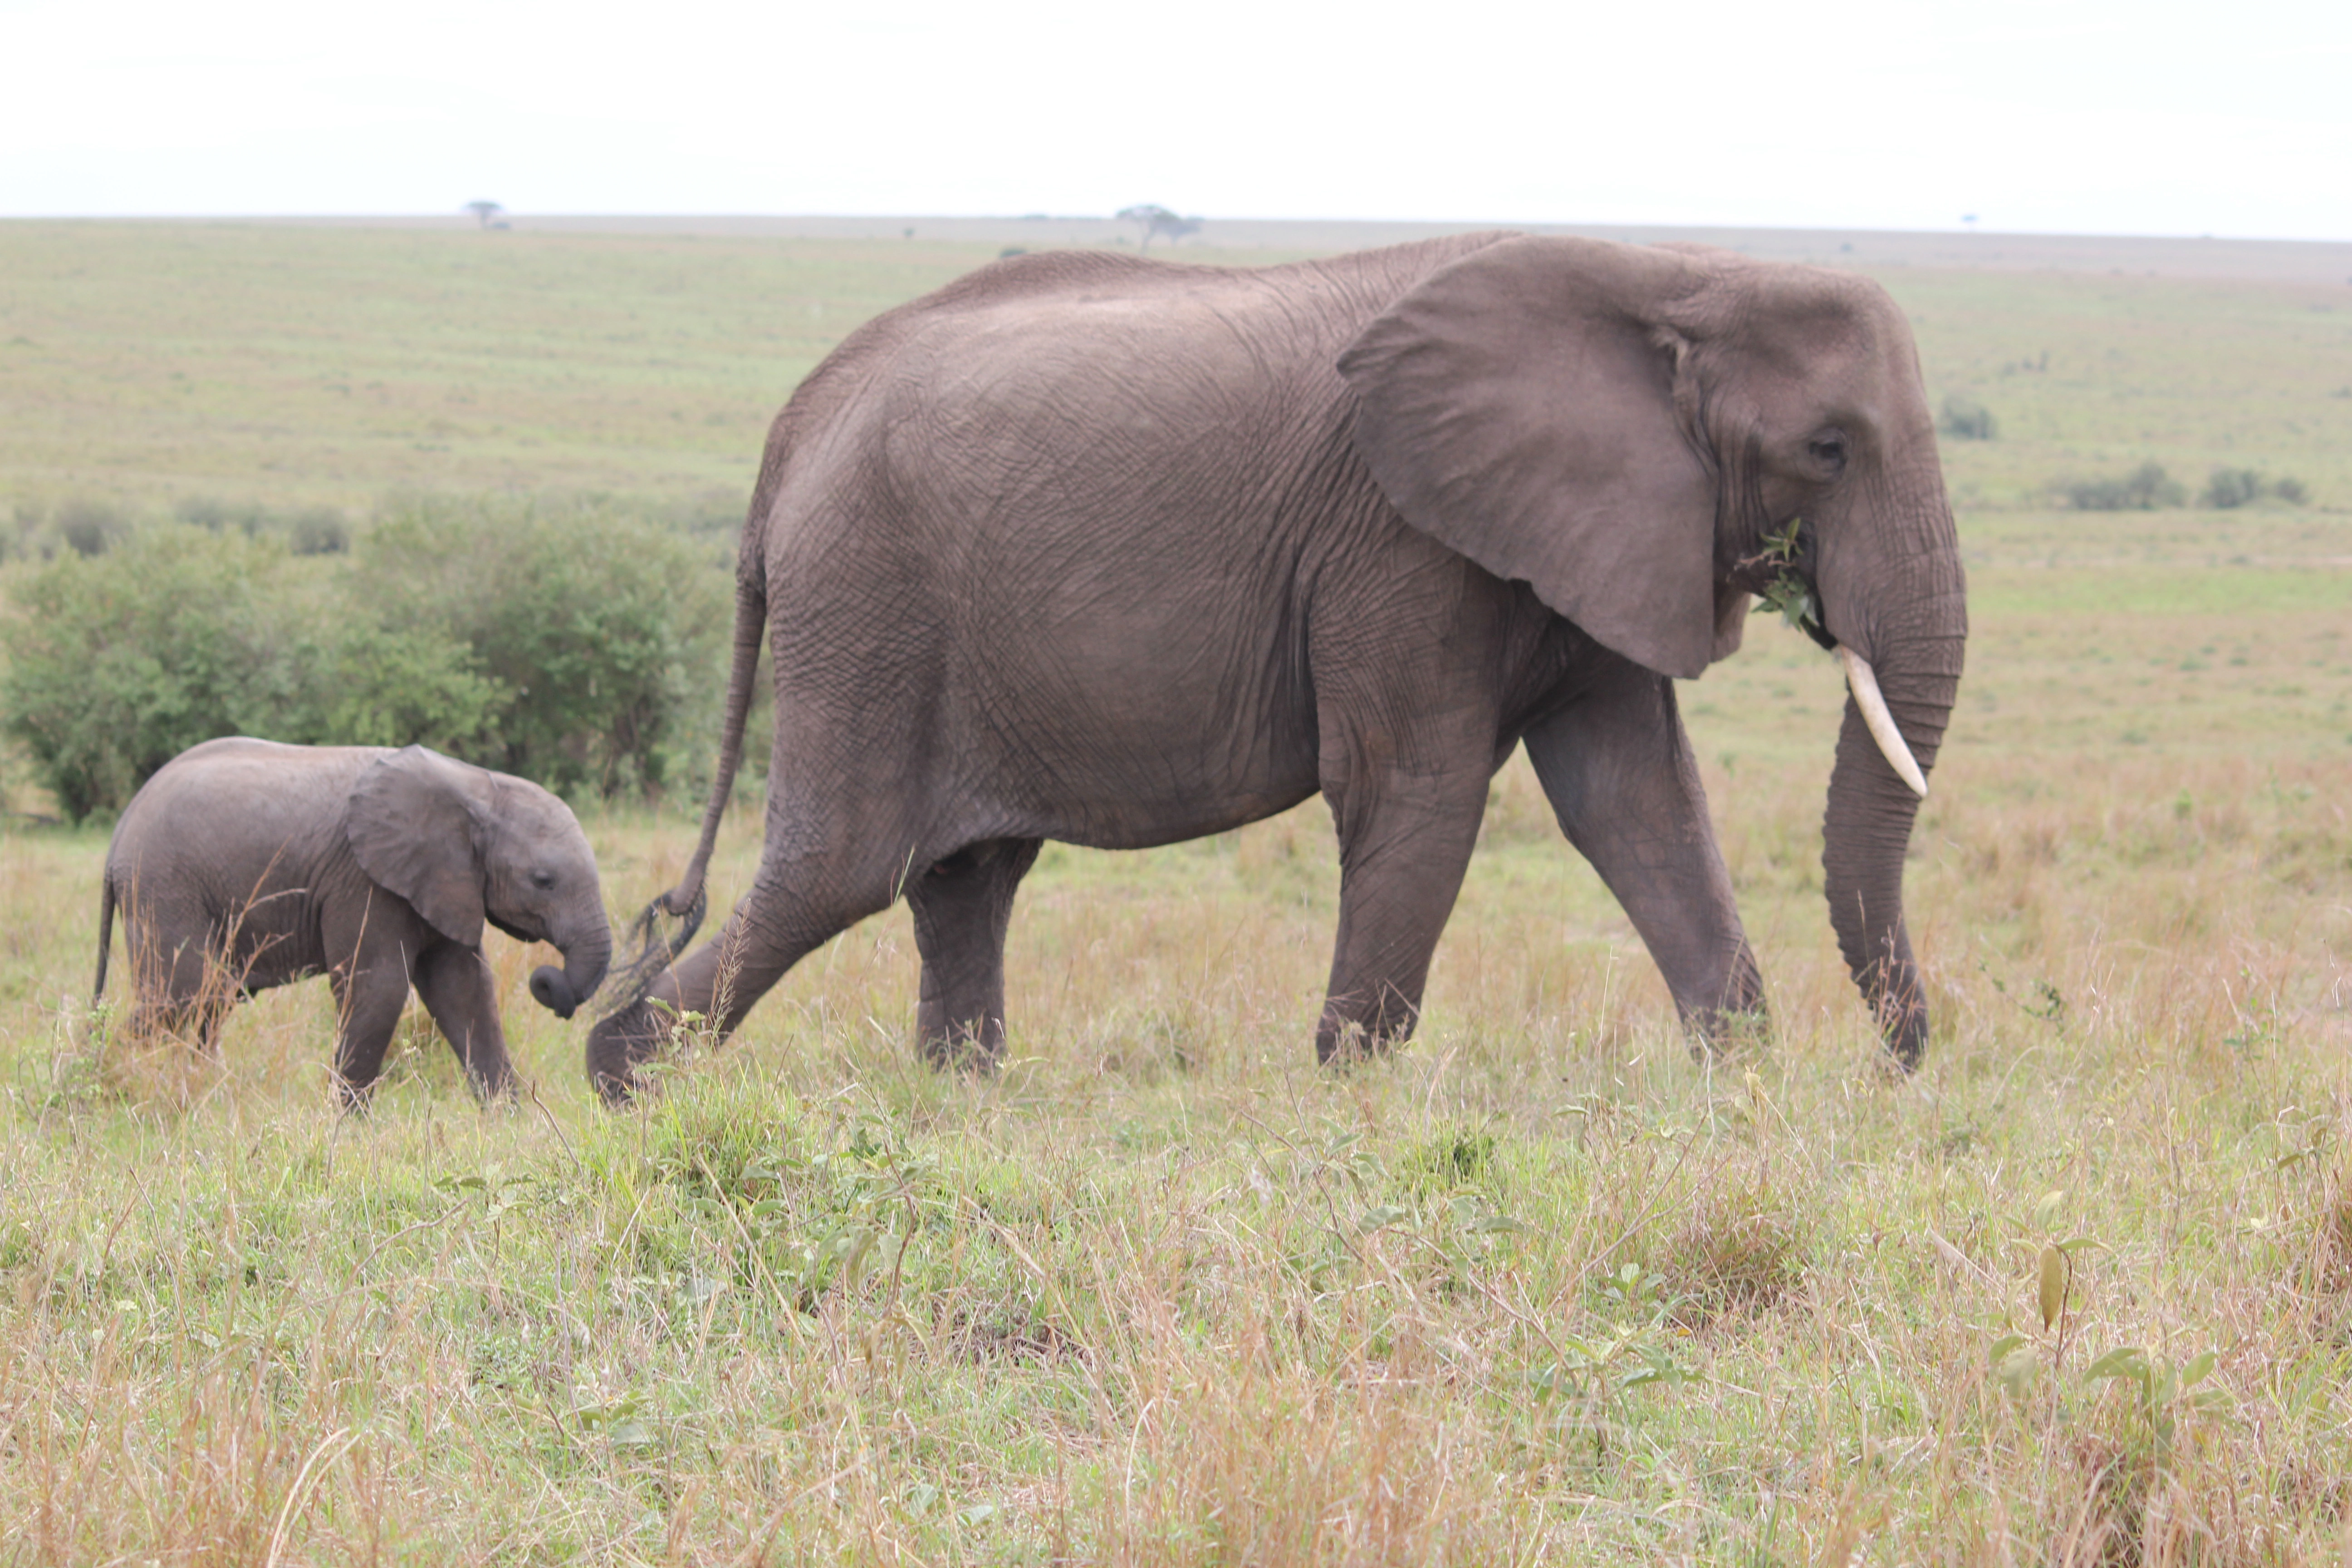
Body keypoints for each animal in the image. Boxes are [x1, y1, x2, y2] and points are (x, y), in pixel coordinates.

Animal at [95, 738, 613, 1104]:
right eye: (544, 881)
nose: (550, 984)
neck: (474, 786)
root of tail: (119, 834)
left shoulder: (442, 881)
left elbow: (466, 992)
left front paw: (513, 1117)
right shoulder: (365, 881)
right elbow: (380, 989)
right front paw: (346, 1126)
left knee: (208, 1001)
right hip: (163, 885)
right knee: (184, 995)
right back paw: (118, 1083)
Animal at [586, 232, 1965, 1098]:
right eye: (1829, 448)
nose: (1900, 1066)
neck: (1679, 271)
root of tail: (790, 432)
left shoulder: (1596, 532)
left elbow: (1636, 801)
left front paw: (1741, 1085)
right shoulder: (1400, 539)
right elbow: (1418, 786)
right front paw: (1347, 1097)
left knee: (963, 880)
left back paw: (956, 1103)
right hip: (869, 601)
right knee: (844, 868)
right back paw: (625, 1081)